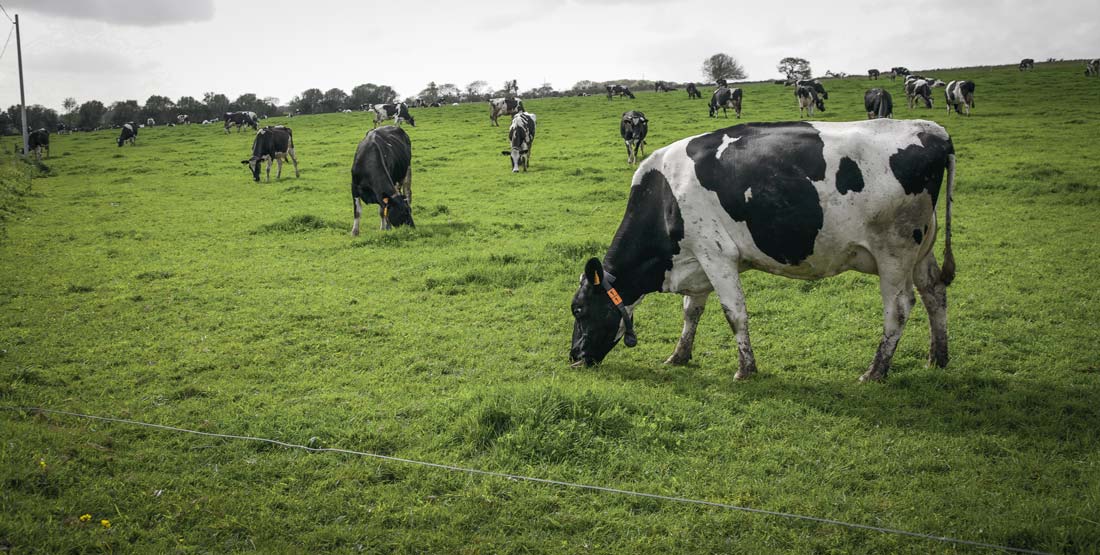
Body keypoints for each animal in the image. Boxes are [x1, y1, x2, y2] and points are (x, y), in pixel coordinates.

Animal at [572, 118, 959, 382]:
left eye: (579, 309)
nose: (574, 356)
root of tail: (933, 131)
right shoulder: (698, 260)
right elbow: (691, 312)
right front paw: (679, 356)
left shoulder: (716, 255)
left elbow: (734, 313)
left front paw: (745, 369)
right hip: (921, 248)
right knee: (934, 291)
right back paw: (937, 357)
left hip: (894, 250)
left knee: (899, 307)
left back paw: (875, 371)